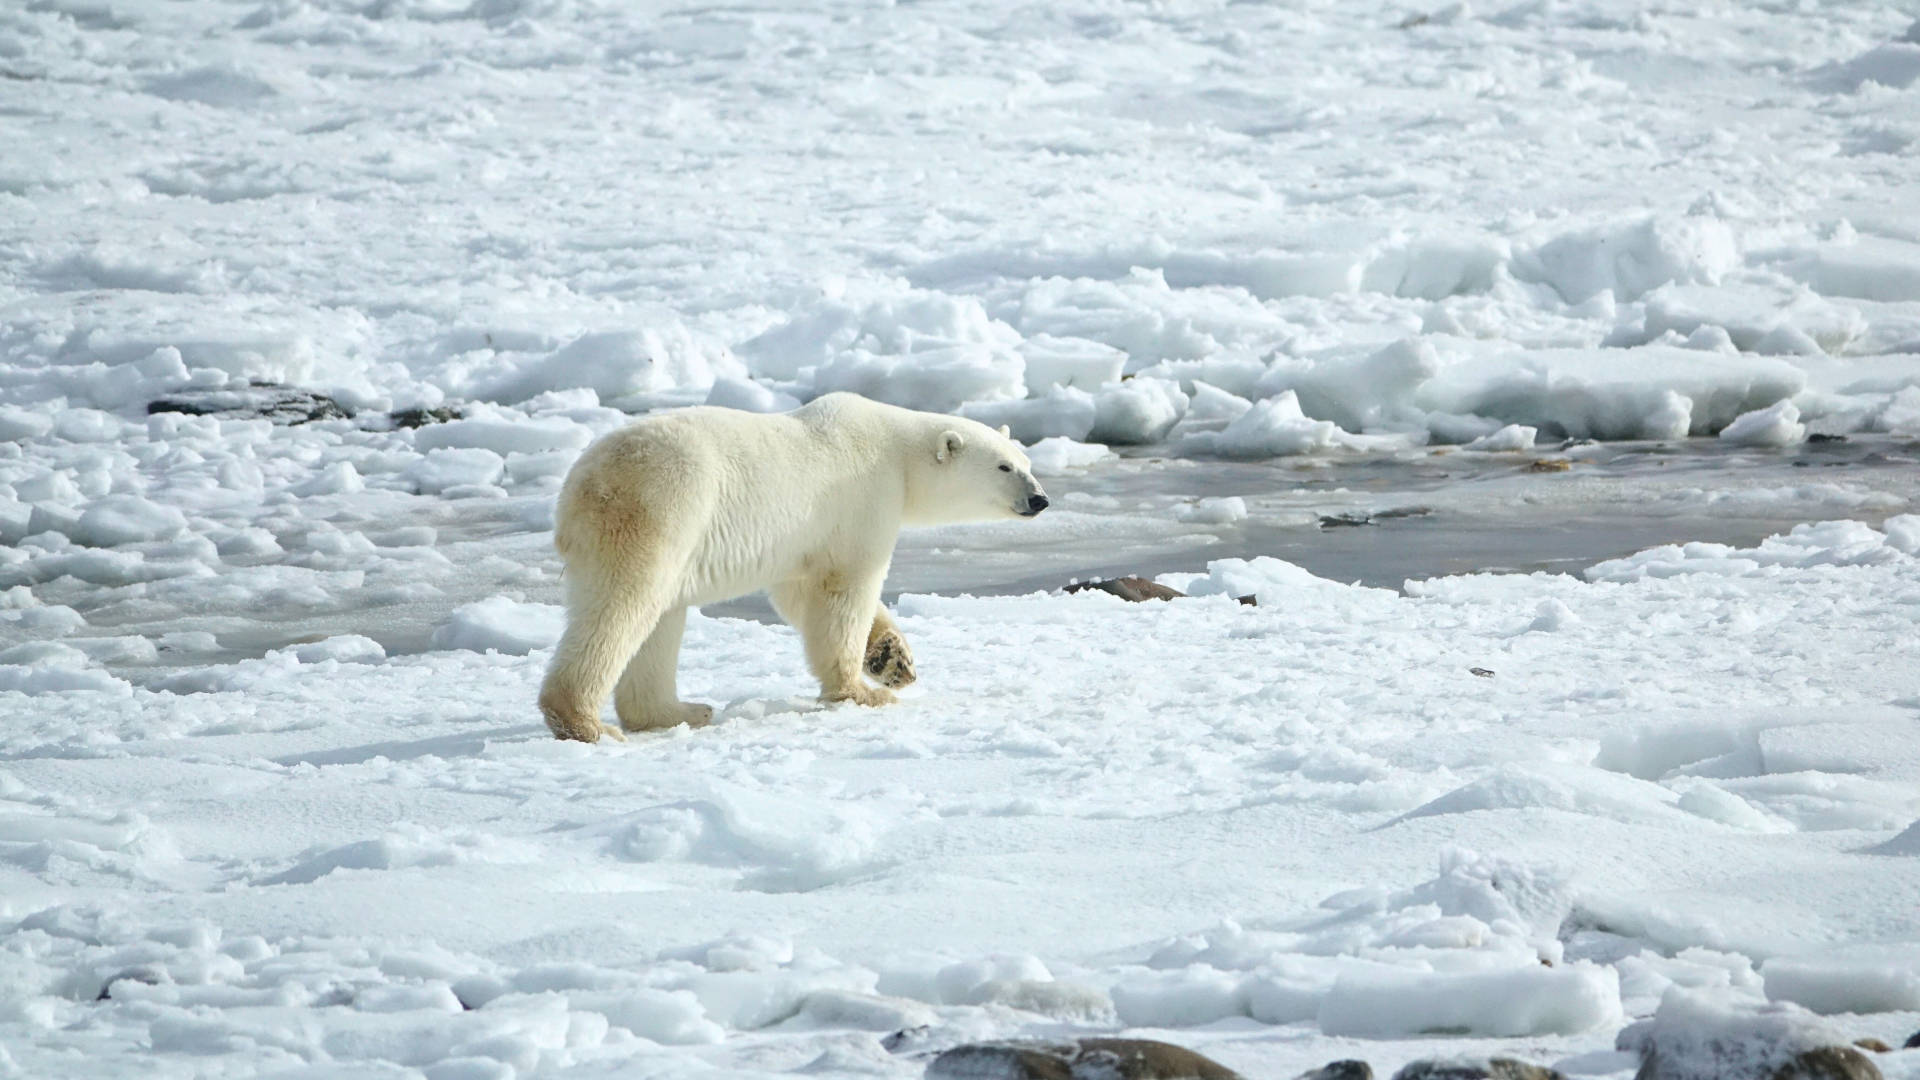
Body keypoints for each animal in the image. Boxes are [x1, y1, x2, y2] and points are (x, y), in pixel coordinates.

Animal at [537, 392, 1051, 742]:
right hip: (661, 508)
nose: (1040, 499)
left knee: (660, 618)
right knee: (624, 606)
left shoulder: (803, 540)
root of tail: (580, 488)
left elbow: (800, 593)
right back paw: (587, 723)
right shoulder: (862, 499)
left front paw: (893, 660)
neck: (897, 451)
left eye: (1026, 460)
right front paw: (862, 691)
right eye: (1004, 467)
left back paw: (681, 711)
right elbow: (845, 589)